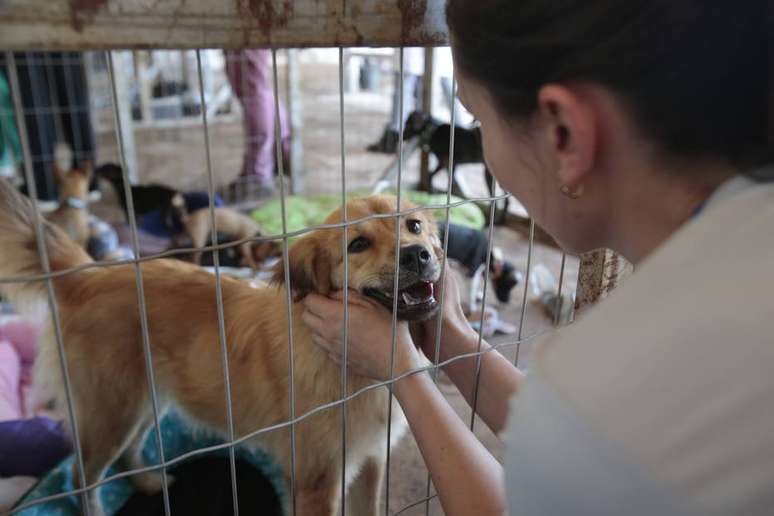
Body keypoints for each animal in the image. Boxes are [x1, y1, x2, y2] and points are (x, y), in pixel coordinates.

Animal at [0, 178, 446, 516]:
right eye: (357, 245)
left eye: (414, 226)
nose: (418, 255)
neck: (351, 369)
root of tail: (90, 275)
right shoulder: (316, 481)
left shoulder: (370, 463)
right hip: (113, 411)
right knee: (82, 477)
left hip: (145, 404)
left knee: (128, 456)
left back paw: (150, 483)